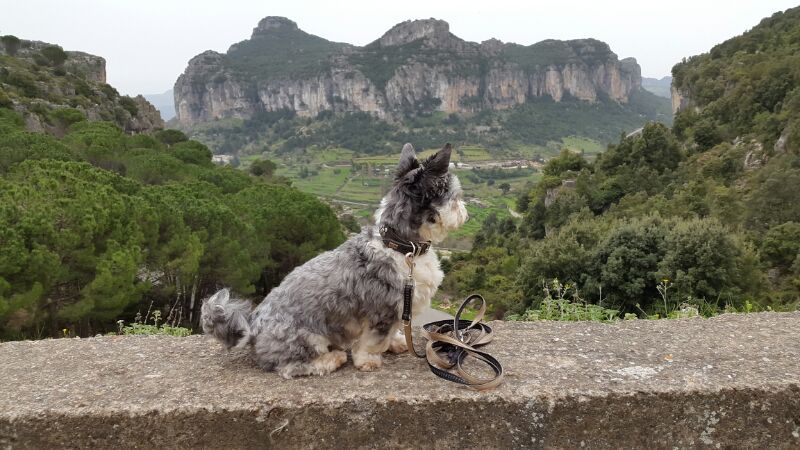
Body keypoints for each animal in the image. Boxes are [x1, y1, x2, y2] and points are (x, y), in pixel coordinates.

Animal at [200, 143, 467, 378]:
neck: (401, 247)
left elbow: (390, 334)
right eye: (455, 197)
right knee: (290, 367)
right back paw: (332, 358)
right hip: (307, 338)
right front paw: (368, 361)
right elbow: (373, 341)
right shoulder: (382, 311)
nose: (464, 211)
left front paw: (396, 342)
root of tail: (252, 328)